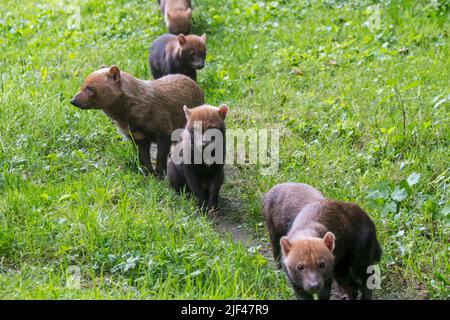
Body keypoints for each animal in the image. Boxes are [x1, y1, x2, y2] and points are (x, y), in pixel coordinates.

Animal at [70, 65, 204, 178]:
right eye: (83, 84)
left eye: (90, 87)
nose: (73, 100)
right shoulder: (138, 137)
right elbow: (143, 158)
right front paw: (148, 175)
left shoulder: (164, 131)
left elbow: (160, 156)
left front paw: (160, 175)